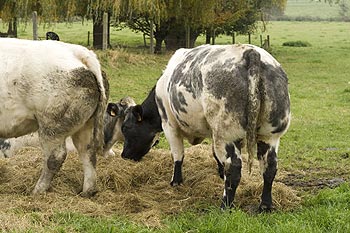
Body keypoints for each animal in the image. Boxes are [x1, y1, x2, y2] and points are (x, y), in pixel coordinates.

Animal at [0, 38, 108, 197]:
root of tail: (78, 51)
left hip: (51, 125)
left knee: (55, 157)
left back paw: (37, 190)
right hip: (85, 125)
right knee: (88, 152)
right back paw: (87, 191)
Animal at [114, 44, 290, 210]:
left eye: (126, 128)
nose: (124, 155)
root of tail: (250, 52)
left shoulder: (169, 125)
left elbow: (178, 155)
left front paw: (176, 181)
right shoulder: (213, 132)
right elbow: (215, 155)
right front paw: (220, 173)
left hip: (227, 134)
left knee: (234, 169)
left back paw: (225, 206)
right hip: (270, 135)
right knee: (269, 167)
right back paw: (265, 205)